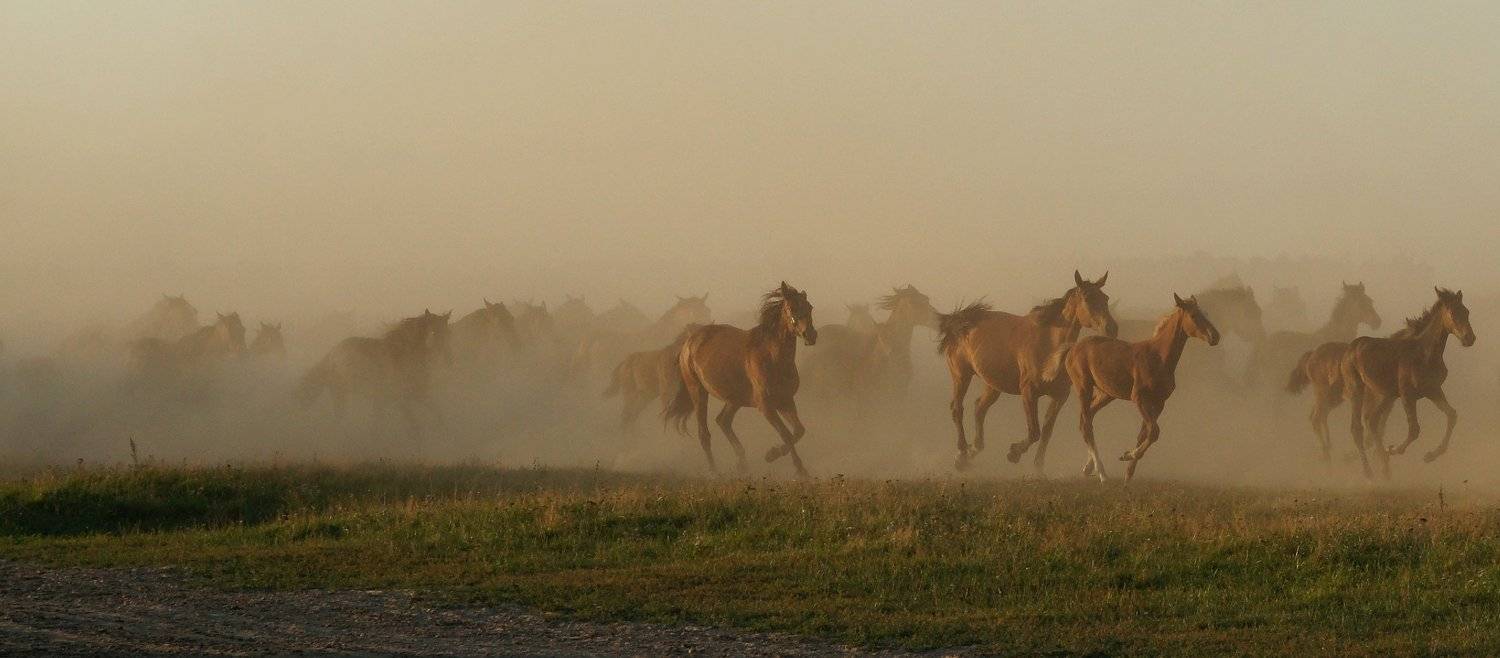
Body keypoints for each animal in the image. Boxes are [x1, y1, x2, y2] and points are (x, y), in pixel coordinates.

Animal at [296, 309, 452, 438]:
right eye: (432, 332)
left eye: (447, 332)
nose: (446, 356)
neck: (402, 356)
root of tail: (332, 354)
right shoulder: (400, 398)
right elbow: (415, 425)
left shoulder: (417, 394)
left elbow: (437, 414)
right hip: (341, 392)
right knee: (339, 417)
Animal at [663, 282, 816, 476]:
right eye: (791, 308)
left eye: (810, 307)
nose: (811, 335)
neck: (773, 358)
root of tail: (689, 342)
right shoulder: (766, 407)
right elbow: (786, 434)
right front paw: (773, 455)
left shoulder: (786, 401)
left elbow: (798, 431)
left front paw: (799, 468)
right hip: (698, 392)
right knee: (704, 434)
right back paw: (715, 472)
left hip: (734, 399)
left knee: (723, 421)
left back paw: (742, 464)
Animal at [938, 271, 1117, 472]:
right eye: (1087, 298)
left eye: (1105, 298)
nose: (1111, 328)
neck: (1049, 345)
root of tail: (961, 322)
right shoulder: (1029, 392)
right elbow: (1034, 431)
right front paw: (1013, 453)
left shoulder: (1059, 396)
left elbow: (1046, 432)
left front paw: (1038, 469)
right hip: (961, 376)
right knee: (957, 409)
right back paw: (961, 454)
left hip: (993, 384)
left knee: (979, 408)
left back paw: (973, 450)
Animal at [1054, 293, 1220, 481]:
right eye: (1193, 315)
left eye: (1206, 313)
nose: (1215, 337)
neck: (1158, 357)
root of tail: (1073, 348)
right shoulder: (1139, 398)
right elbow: (1154, 431)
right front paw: (1128, 455)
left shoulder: (1160, 402)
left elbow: (1144, 434)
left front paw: (1128, 471)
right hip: (1084, 388)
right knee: (1086, 426)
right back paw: (1102, 473)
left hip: (1106, 394)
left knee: (1087, 419)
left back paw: (1089, 468)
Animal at [1341, 289, 1476, 479]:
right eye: (1451, 312)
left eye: (1466, 311)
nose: (1469, 338)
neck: (1425, 354)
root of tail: (1350, 349)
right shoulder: (1407, 395)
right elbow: (1414, 429)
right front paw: (1394, 449)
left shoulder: (1433, 390)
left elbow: (1451, 415)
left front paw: (1430, 455)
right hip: (1357, 391)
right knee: (1357, 428)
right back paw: (1369, 472)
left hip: (1385, 395)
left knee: (1372, 422)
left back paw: (1384, 466)